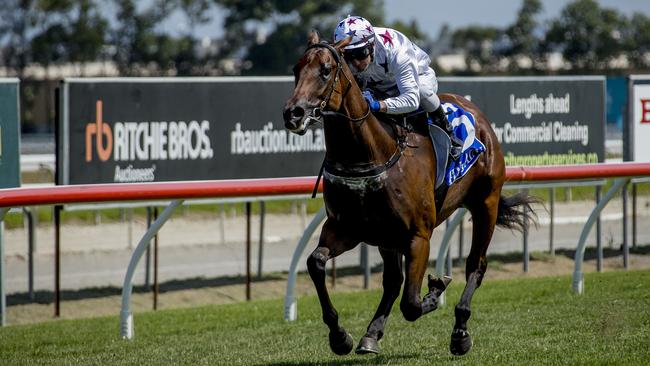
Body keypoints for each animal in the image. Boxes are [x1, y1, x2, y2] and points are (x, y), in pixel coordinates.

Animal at [280, 32, 536, 358]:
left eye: (326, 70)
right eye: (296, 68)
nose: (293, 113)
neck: (373, 154)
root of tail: (476, 115)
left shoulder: (418, 236)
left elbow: (412, 304)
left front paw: (436, 289)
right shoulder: (346, 229)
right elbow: (316, 263)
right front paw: (340, 336)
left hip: (485, 204)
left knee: (475, 265)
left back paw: (460, 331)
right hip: (387, 236)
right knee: (393, 281)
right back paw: (371, 334)